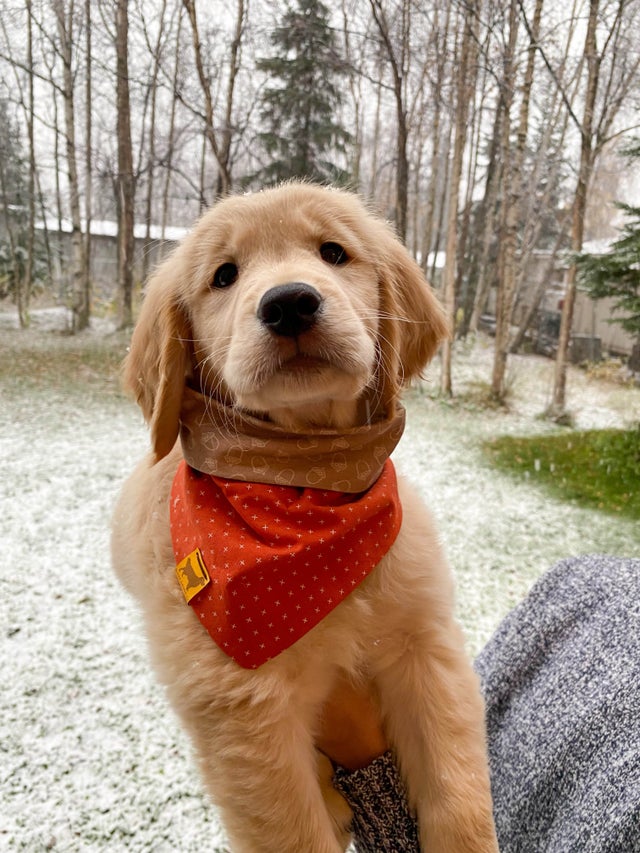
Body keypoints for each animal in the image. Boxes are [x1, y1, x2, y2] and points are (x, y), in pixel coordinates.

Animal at [112, 181, 498, 852]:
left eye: (333, 252)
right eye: (224, 275)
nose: (289, 302)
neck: (307, 483)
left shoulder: (426, 648)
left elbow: (460, 798)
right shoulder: (244, 720)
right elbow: (295, 831)